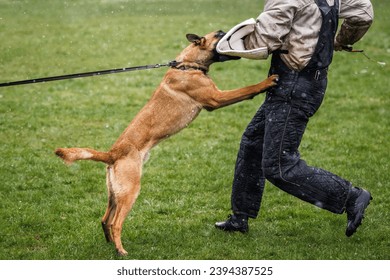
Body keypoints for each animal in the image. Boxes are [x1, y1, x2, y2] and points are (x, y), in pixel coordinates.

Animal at [54, 31, 278, 256]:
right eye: (219, 34)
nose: (229, 34)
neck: (187, 65)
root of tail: (112, 153)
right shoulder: (216, 98)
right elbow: (247, 89)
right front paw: (267, 81)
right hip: (130, 191)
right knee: (116, 223)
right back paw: (121, 251)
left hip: (114, 194)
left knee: (104, 219)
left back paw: (111, 245)